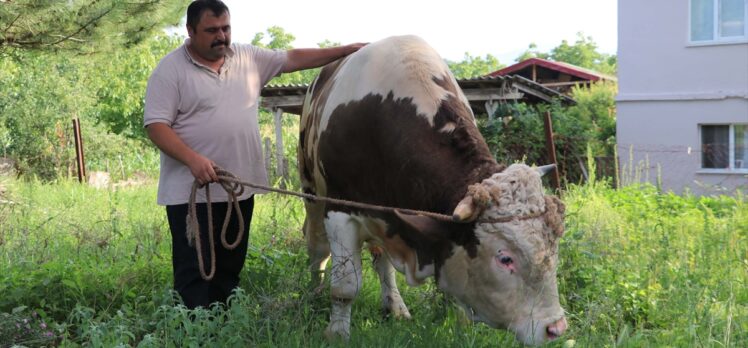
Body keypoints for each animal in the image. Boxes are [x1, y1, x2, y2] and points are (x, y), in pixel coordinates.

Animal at [298, 35, 568, 346]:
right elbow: (345, 285)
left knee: (381, 261)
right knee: (317, 247)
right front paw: (337, 333)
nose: (556, 328)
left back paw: (395, 305)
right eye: (505, 258)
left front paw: (459, 325)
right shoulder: (340, 211)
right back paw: (314, 291)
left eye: (554, 246)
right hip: (310, 191)